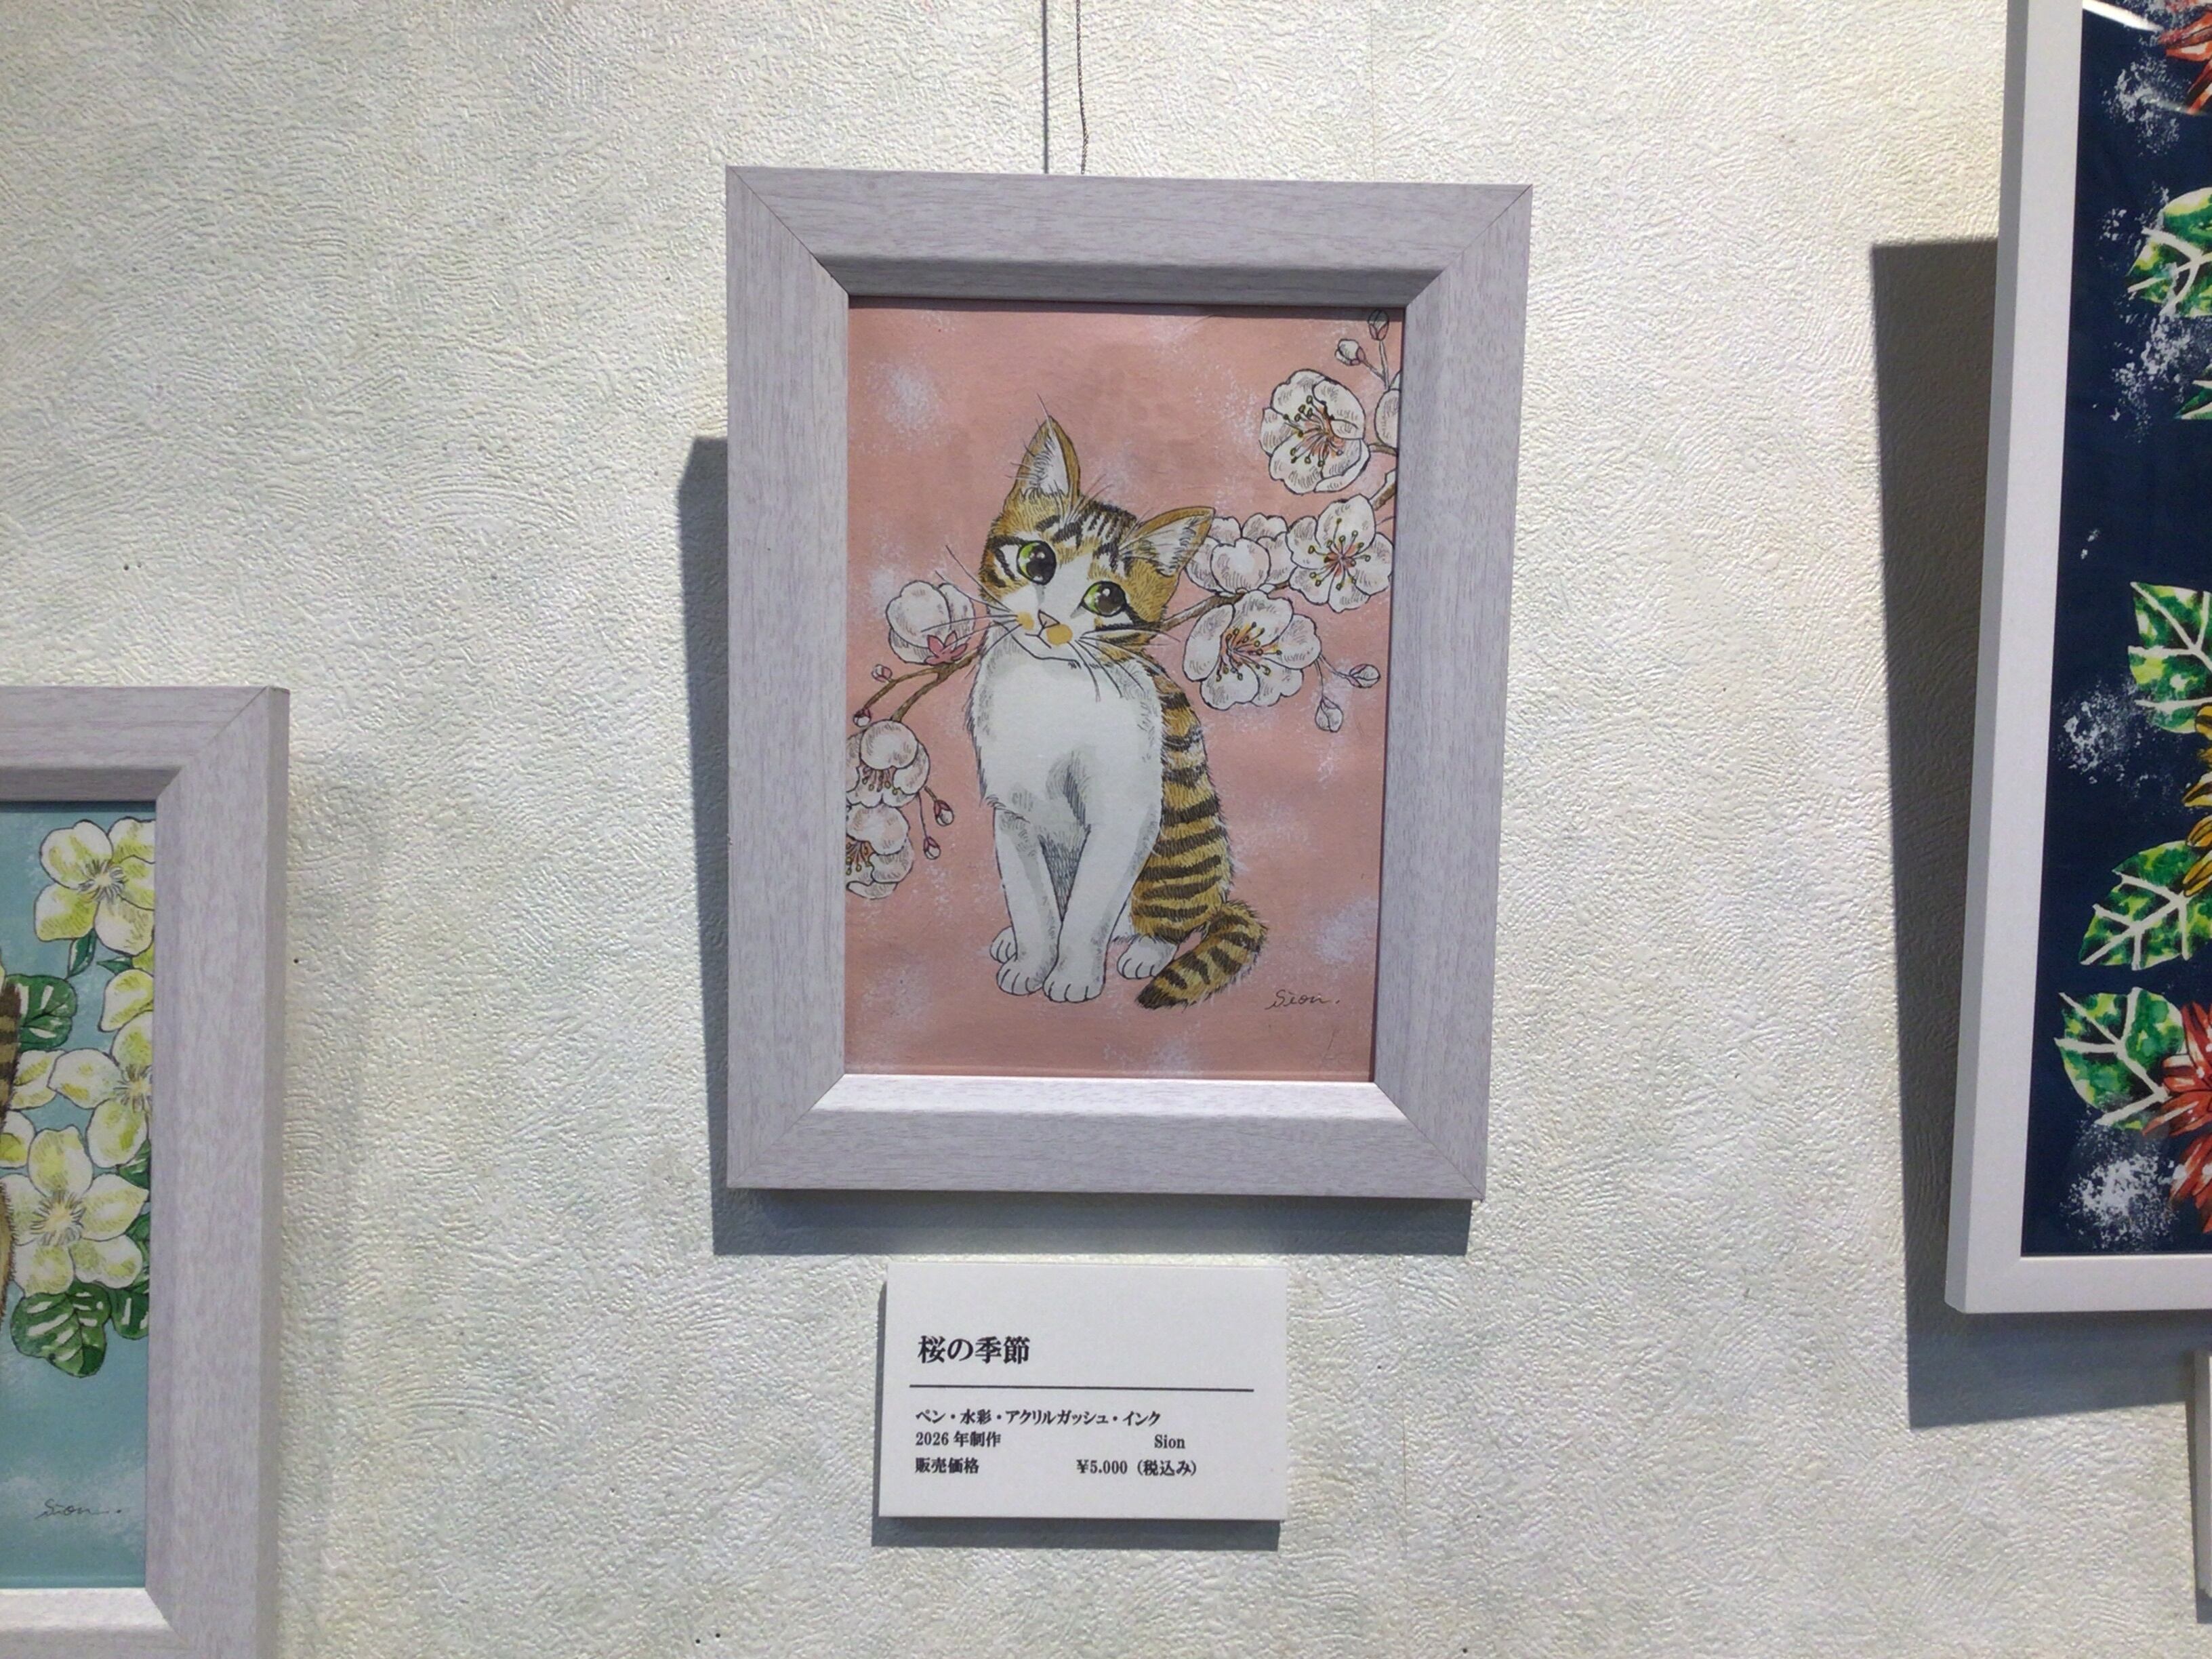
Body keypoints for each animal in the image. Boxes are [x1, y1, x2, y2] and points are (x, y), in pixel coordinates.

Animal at [967, 417, 1266, 1008]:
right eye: (1037, 562)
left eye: (1106, 598)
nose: (1049, 621)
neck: (1047, 687)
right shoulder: (1012, 815)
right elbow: (1033, 904)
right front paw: (1032, 960)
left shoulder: (1123, 817)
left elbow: (1086, 913)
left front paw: (1072, 977)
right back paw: (1014, 942)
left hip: (1174, 854)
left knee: (1167, 921)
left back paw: (1144, 951)